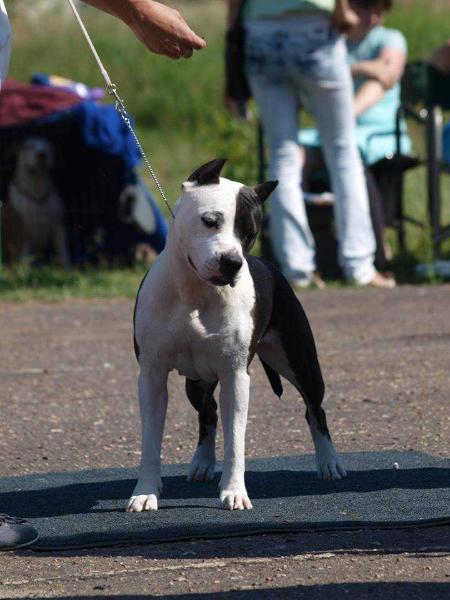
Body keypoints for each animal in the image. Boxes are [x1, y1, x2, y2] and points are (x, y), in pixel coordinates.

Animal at [128, 158, 346, 510]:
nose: (232, 262)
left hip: (302, 364)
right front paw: (145, 492)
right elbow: (151, 442)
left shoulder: (235, 376)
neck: (195, 293)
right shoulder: (152, 374)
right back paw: (202, 463)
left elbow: (235, 440)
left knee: (315, 410)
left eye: (250, 233)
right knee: (208, 413)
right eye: (210, 221)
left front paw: (234, 492)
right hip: (197, 382)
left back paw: (329, 462)